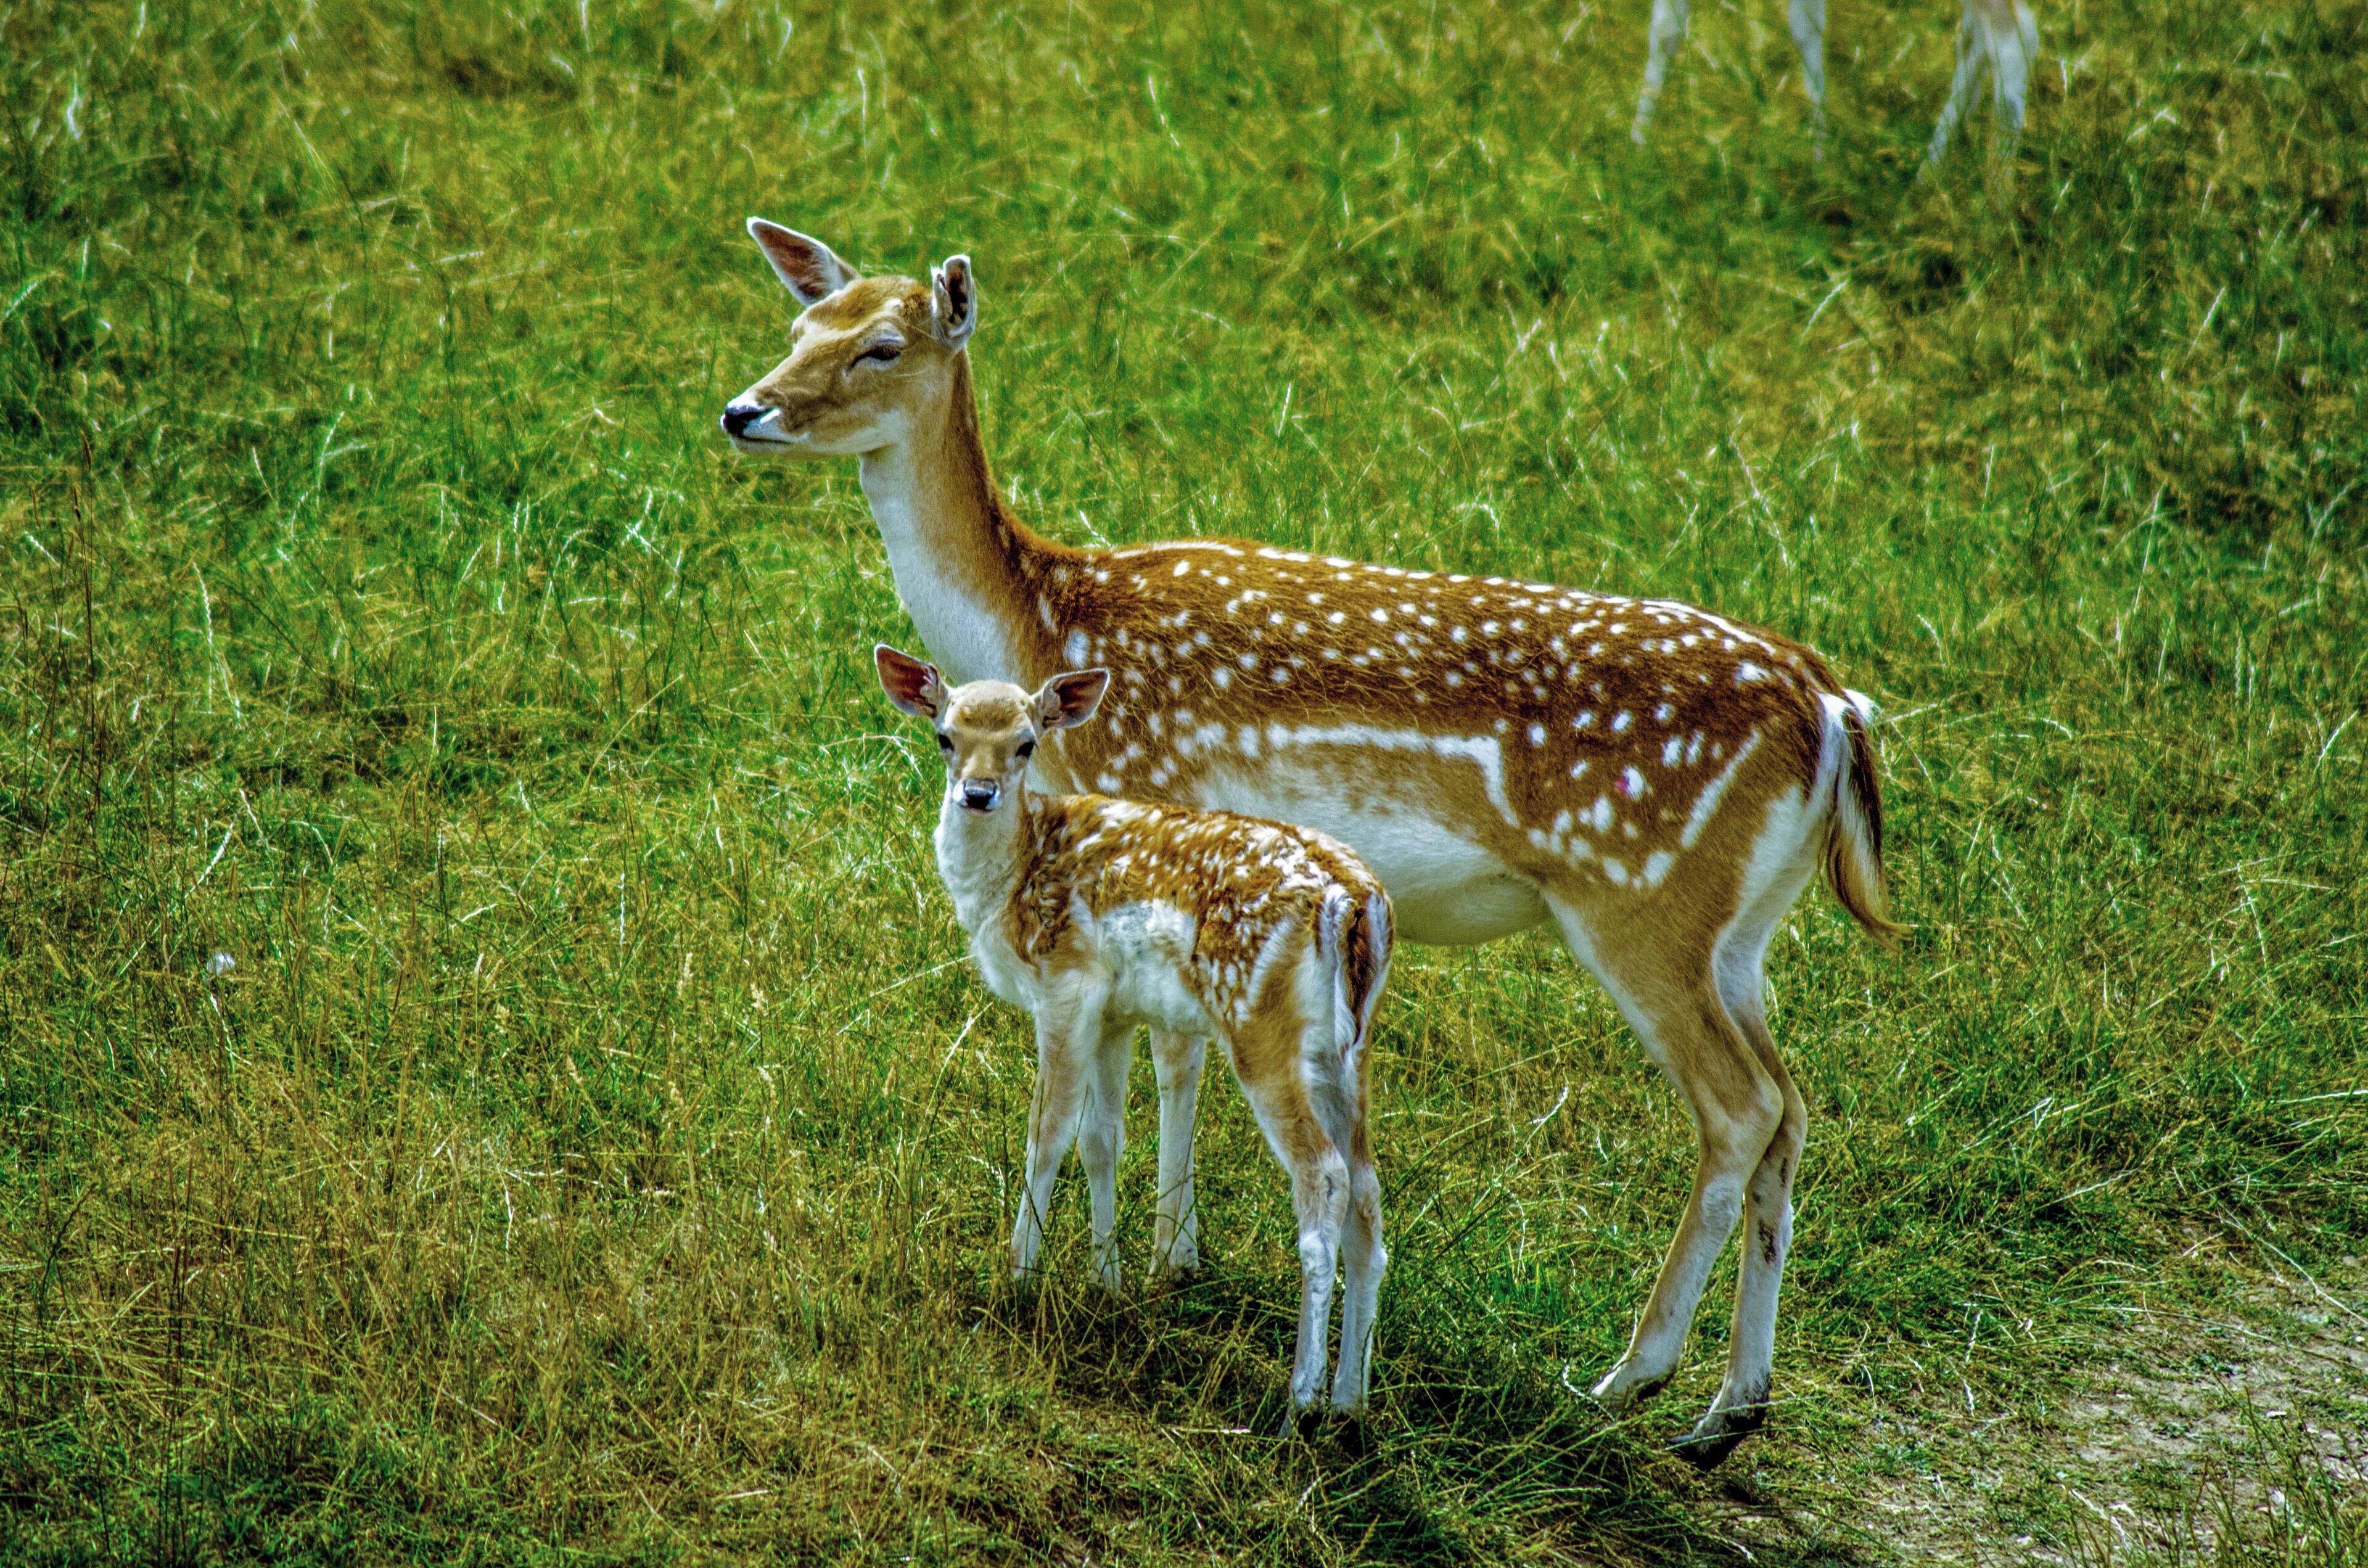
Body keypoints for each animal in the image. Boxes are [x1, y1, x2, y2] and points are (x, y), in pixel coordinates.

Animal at [874, 644, 1395, 1423]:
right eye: (944, 735)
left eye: (1026, 743)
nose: (977, 793)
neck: (1010, 881)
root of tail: (1353, 902)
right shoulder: (1114, 1009)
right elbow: (1102, 1139)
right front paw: (1105, 1279)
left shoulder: (1065, 983)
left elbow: (1047, 1131)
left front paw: (1018, 1275)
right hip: (1346, 1049)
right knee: (1366, 1186)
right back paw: (1350, 1398)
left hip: (1261, 1024)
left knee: (1323, 1175)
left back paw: (1300, 1396)